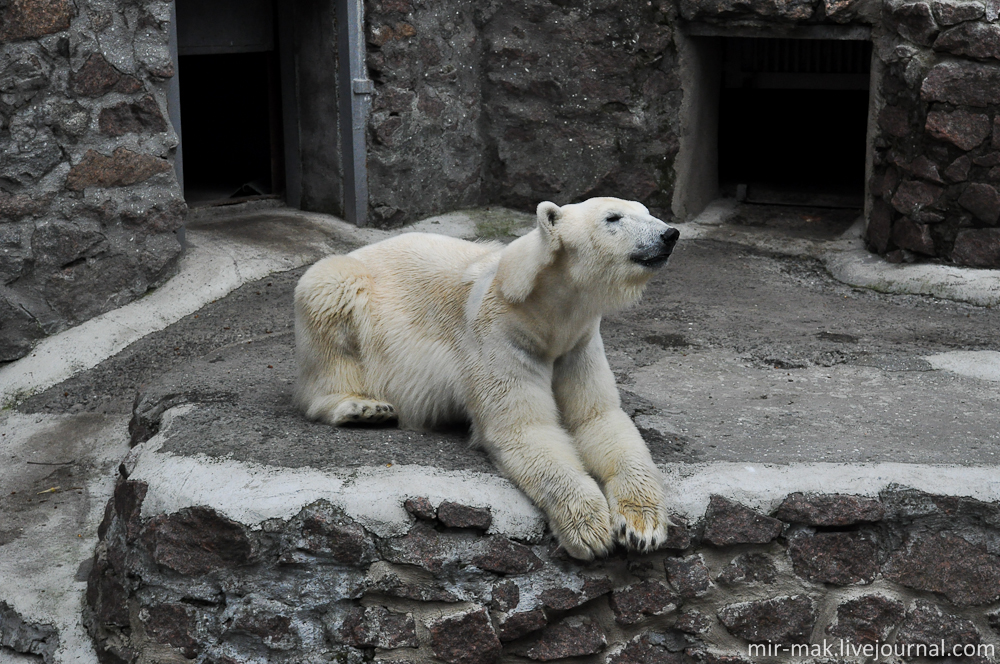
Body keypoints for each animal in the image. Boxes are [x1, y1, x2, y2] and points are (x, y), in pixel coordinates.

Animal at [294, 197, 680, 560]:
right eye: (613, 218)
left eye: (647, 211)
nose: (669, 234)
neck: (546, 313)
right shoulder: (500, 335)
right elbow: (524, 429)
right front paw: (589, 530)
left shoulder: (578, 342)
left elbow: (600, 420)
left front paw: (641, 526)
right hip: (349, 289)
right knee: (330, 300)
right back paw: (362, 408)